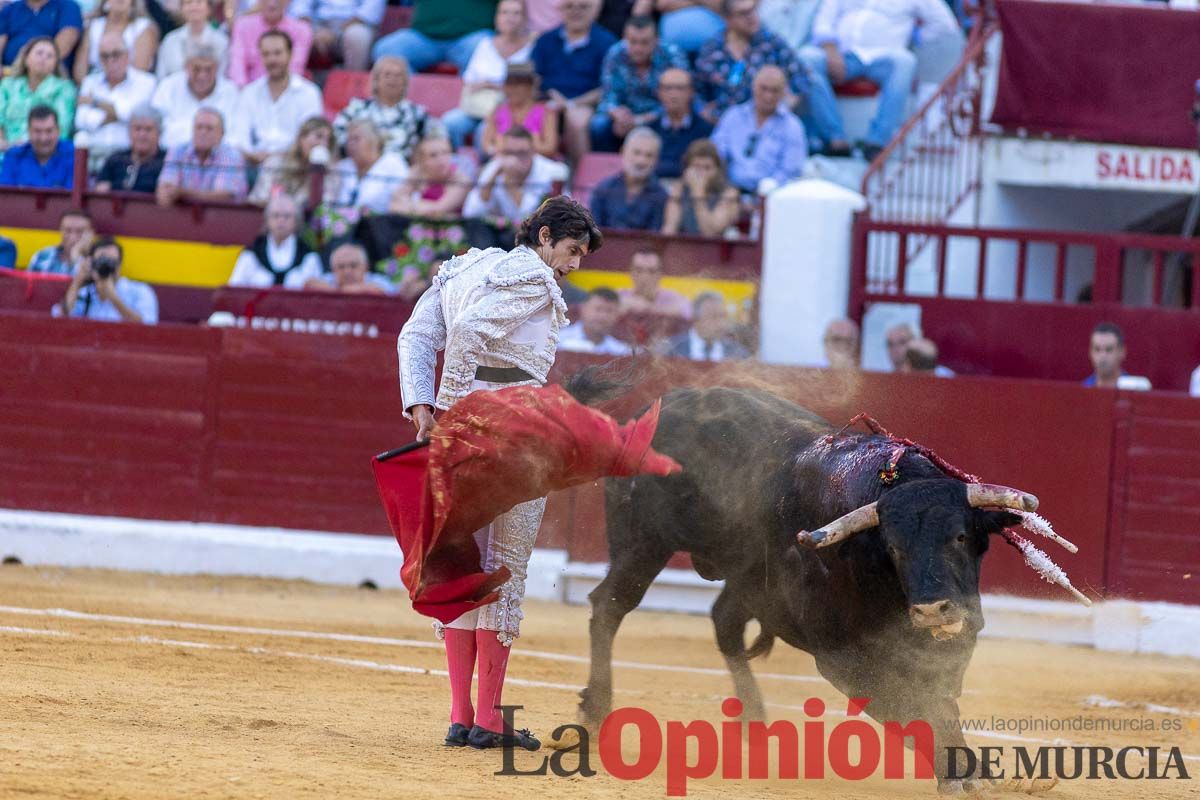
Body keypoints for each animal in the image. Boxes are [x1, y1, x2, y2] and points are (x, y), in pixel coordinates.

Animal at [578, 386, 1022, 786]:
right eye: (894, 547)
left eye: (961, 536)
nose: (932, 610)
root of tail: (659, 409)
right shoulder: (841, 658)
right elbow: (908, 706)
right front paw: (959, 773)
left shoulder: (950, 644)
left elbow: (938, 701)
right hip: (644, 543)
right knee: (610, 605)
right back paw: (595, 710)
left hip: (746, 577)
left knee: (724, 620)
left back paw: (754, 721)